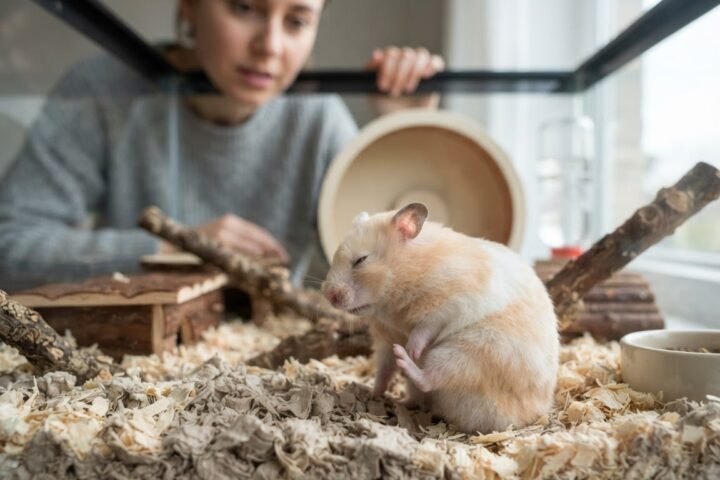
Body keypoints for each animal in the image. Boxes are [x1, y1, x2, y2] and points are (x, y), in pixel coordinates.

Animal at [321, 203, 559, 434]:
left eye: (361, 260)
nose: (328, 296)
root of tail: (525, 417)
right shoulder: (386, 341)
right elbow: (384, 370)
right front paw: (373, 392)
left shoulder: (453, 304)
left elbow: (425, 327)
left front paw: (412, 349)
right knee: (419, 392)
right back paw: (402, 398)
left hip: (470, 353)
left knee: (430, 379)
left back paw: (405, 358)